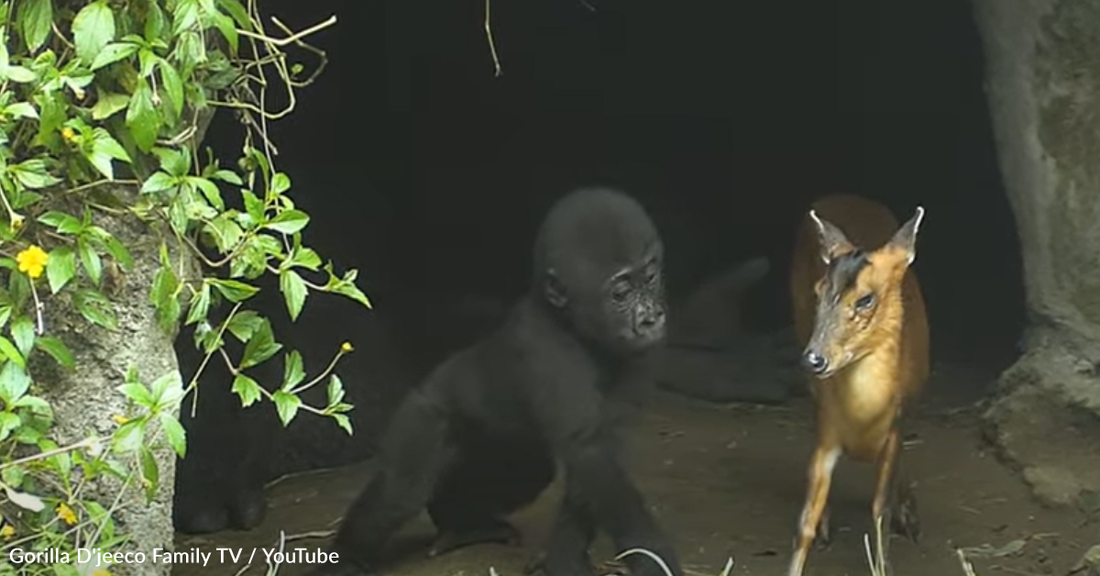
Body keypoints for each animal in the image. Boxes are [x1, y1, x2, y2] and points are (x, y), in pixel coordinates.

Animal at [308, 186, 677, 571]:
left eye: (651, 277)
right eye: (620, 294)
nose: (651, 318)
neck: (571, 323)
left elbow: (598, 457)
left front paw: (564, 559)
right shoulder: (545, 346)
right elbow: (590, 451)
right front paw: (652, 556)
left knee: (529, 468)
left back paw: (461, 525)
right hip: (424, 412)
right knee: (398, 493)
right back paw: (347, 558)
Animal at [783, 194, 928, 576]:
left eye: (865, 299)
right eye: (818, 292)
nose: (813, 360)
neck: (864, 419)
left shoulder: (897, 425)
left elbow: (879, 508)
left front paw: (885, 563)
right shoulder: (826, 431)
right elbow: (804, 520)